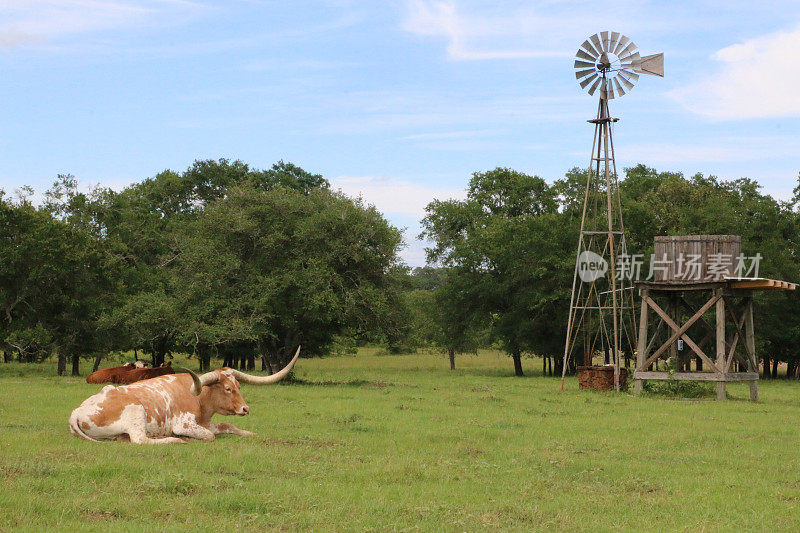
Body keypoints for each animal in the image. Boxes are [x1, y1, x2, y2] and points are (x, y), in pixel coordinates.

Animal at [68, 348, 300, 442]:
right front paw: (184, 437)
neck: (201, 400)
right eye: (227, 388)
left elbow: (227, 425)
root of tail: (76, 412)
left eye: (238, 387)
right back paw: (173, 440)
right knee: (140, 439)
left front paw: (250, 433)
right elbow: (210, 435)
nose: (245, 408)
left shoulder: (206, 422)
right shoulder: (184, 424)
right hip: (135, 410)